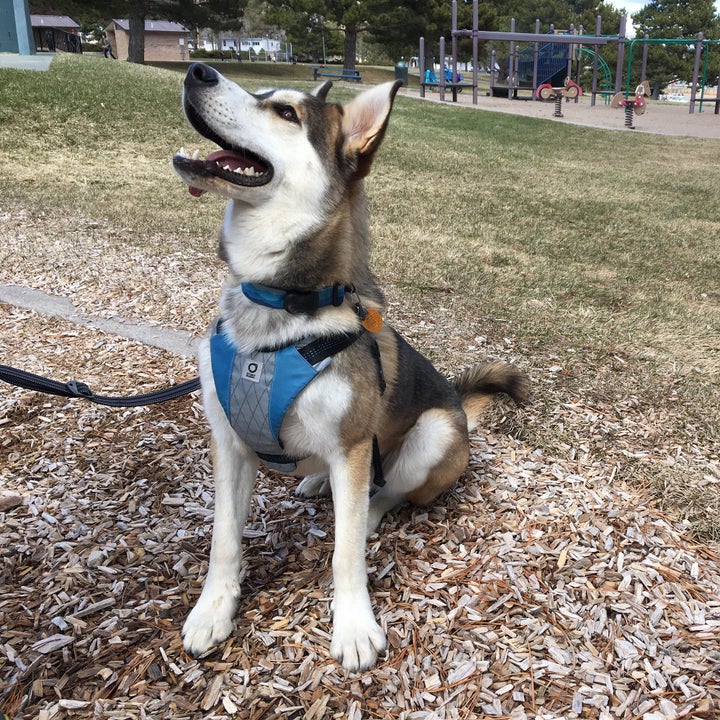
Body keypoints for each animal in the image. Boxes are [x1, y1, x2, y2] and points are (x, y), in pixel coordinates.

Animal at [172, 64, 524, 672]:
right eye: (263, 95)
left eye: (286, 112)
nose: (199, 70)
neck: (280, 306)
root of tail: (459, 408)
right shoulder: (229, 442)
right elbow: (224, 540)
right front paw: (212, 611)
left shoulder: (356, 446)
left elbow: (345, 553)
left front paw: (355, 626)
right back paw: (315, 478)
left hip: (432, 433)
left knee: (384, 493)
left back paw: (368, 506)